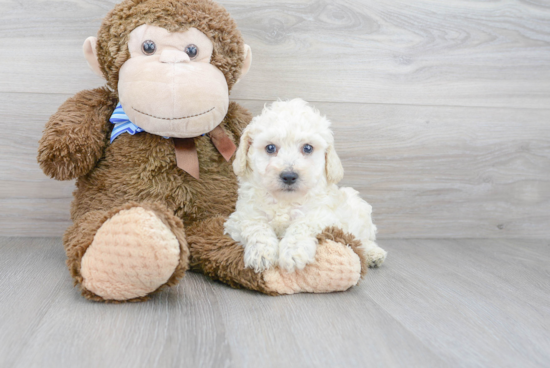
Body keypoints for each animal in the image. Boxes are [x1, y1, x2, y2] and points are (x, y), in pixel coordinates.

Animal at [224, 99, 388, 272]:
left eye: (308, 148)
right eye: (270, 148)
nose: (289, 176)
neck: (285, 200)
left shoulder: (323, 216)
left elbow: (302, 225)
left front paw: (293, 253)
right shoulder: (241, 217)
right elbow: (256, 226)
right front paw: (261, 254)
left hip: (359, 211)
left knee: (362, 239)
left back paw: (374, 254)